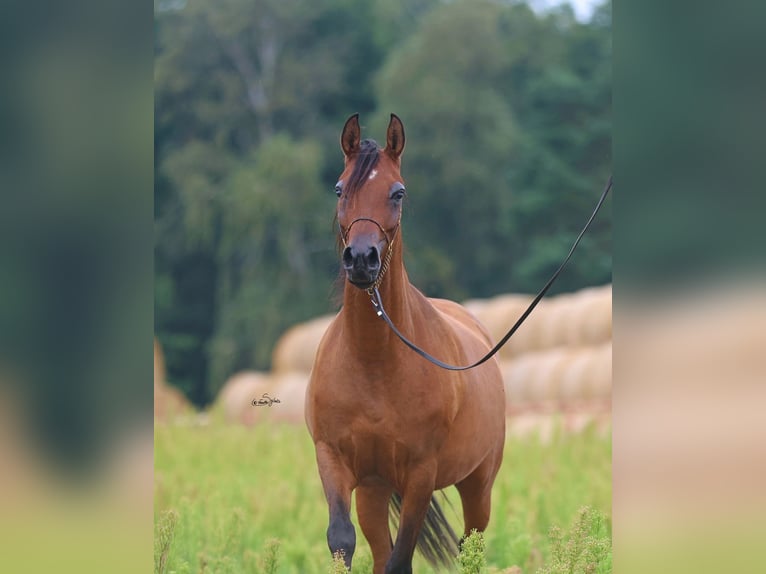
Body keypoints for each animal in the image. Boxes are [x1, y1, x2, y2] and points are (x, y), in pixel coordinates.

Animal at [306, 115, 510, 572]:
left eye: (397, 192)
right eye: (340, 189)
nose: (361, 259)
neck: (373, 361)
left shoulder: (420, 473)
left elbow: (401, 559)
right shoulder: (334, 460)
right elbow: (342, 540)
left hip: (478, 485)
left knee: (470, 546)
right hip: (375, 490)